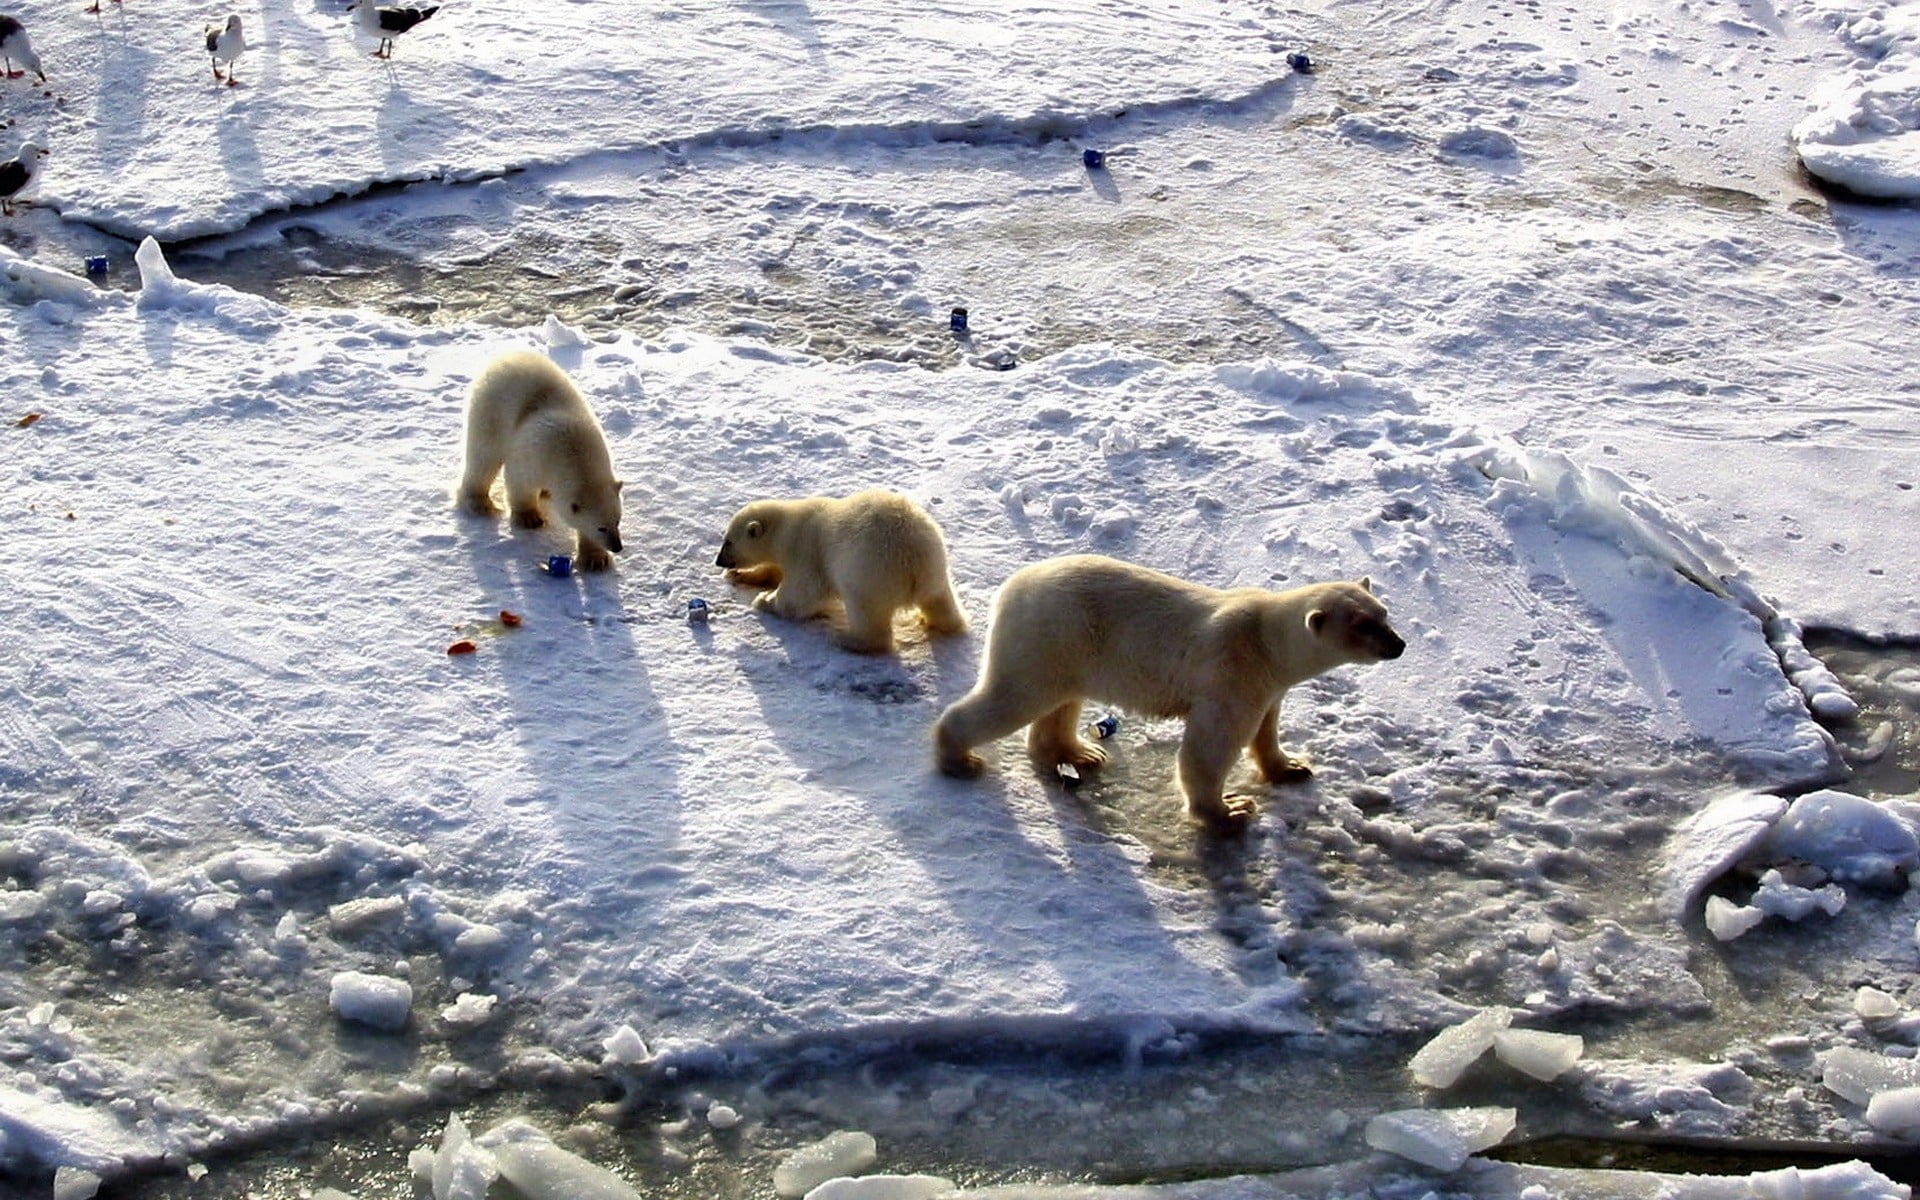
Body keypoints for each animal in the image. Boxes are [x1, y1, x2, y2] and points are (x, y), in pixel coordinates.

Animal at [458, 350, 625, 572]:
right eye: (601, 528)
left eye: (618, 521)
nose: (617, 546)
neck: (574, 451)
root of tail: (506, 356)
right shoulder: (534, 454)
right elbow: (520, 481)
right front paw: (530, 518)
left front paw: (595, 559)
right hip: (491, 409)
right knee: (483, 455)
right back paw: (479, 503)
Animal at [714, 489, 968, 654]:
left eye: (728, 542)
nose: (718, 561)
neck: (787, 527)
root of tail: (915, 562)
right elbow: (774, 569)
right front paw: (741, 576)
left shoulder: (806, 549)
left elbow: (802, 592)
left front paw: (765, 600)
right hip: (936, 569)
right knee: (941, 601)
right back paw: (944, 622)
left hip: (868, 572)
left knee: (866, 612)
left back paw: (845, 638)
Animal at [932, 554, 1405, 829]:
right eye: (1362, 625)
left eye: (1384, 613)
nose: (1398, 645)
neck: (1266, 640)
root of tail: (1010, 588)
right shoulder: (1231, 674)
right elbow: (1211, 745)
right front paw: (1229, 809)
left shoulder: (1268, 684)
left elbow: (1267, 729)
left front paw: (1292, 767)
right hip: (1050, 634)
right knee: (1014, 698)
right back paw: (959, 758)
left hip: (1068, 649)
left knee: (1061, 701)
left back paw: (1081, 753)